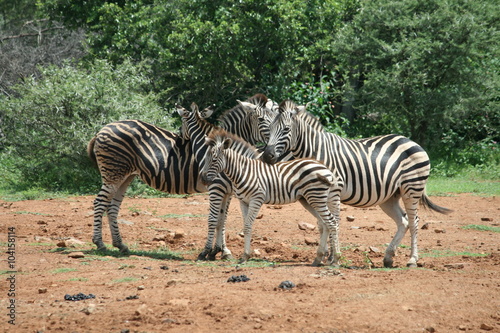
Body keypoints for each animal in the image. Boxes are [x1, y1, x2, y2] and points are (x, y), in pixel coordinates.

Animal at [200, 129, 344, 264]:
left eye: (214, 159)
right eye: (205, 158)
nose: (202, 179)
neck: (243, 171)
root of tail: (326, 168)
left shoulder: (256, 199)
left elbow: (247, 226)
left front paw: (245, 256)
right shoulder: (243, 201)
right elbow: (246, 226)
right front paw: (244, 256)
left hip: (316, 197)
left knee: (332, 222)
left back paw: (336, 259)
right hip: (309, 200)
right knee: (324, 223)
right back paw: (318, 259)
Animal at [260, 99, 452, 268]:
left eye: (286, 129)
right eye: (269, 129)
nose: (267, 156)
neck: (315, 151)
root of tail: (410, 140)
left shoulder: (334, 190)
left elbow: (334, 221)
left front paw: (333, 258)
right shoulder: (316, 192)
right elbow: (323, 223)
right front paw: (323, 257)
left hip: (411, 188)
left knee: (414, 221)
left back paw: (412, 260)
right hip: (389, 197)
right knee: (403, 221)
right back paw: (388, 258)